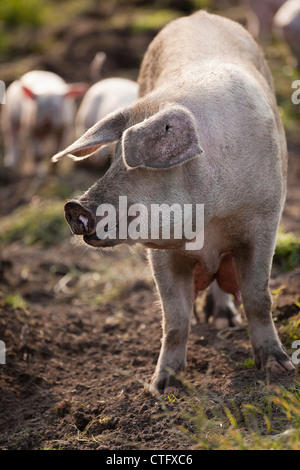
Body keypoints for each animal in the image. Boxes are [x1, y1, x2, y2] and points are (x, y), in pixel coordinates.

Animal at [52, 11, 296, 392]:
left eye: (143, 165)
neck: (209, 218)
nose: (74, 207)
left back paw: (226, 323)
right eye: (113, 160)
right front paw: (161, 387)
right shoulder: (160, 253)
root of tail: (200, 15)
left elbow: (258, 296)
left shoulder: (265, 221)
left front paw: (279, 370)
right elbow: (174, 318)